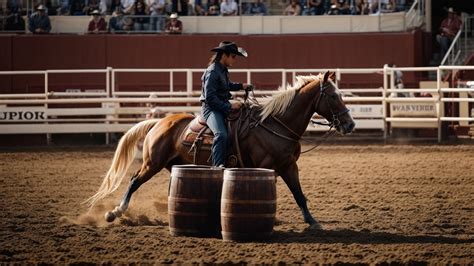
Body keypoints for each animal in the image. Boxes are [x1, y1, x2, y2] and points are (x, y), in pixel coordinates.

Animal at [85, 71, 354, 229]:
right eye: (333, 96)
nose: (350, 124)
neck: (275, 123)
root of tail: (159, 121)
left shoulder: (289, 166)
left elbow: (299, 194)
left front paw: (312, 221)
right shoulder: (266, 167)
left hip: (173, 164)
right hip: (152, 163)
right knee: (133, 181)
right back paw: (115, 212)